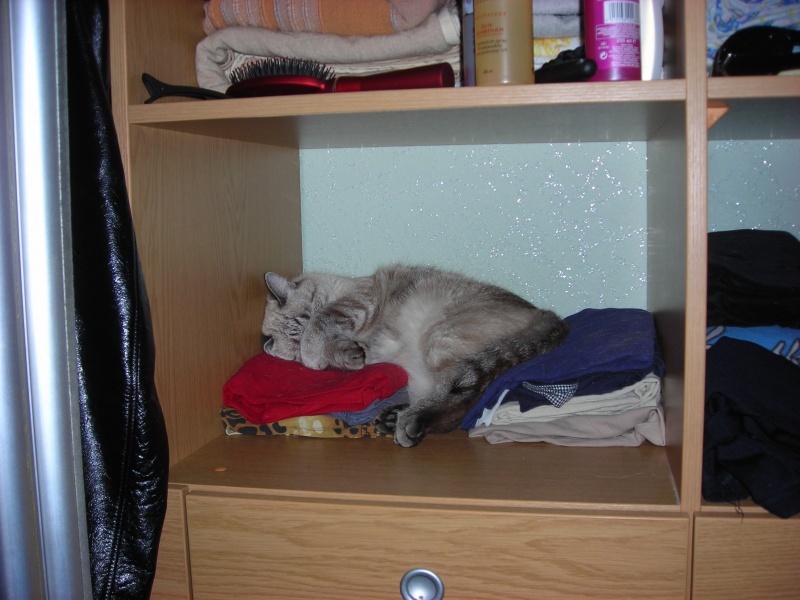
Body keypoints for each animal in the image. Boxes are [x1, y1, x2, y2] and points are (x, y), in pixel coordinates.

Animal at [260, 264, 569, 447]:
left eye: (306, 316)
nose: (305, 339)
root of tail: (549, 315)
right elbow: (338, 353)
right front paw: (343, 356)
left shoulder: (357, 302)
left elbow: (325, 321)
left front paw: (316, 350)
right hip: (421, 372)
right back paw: (393, 418)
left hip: (439, 341)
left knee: (467, 399)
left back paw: (408, 424)